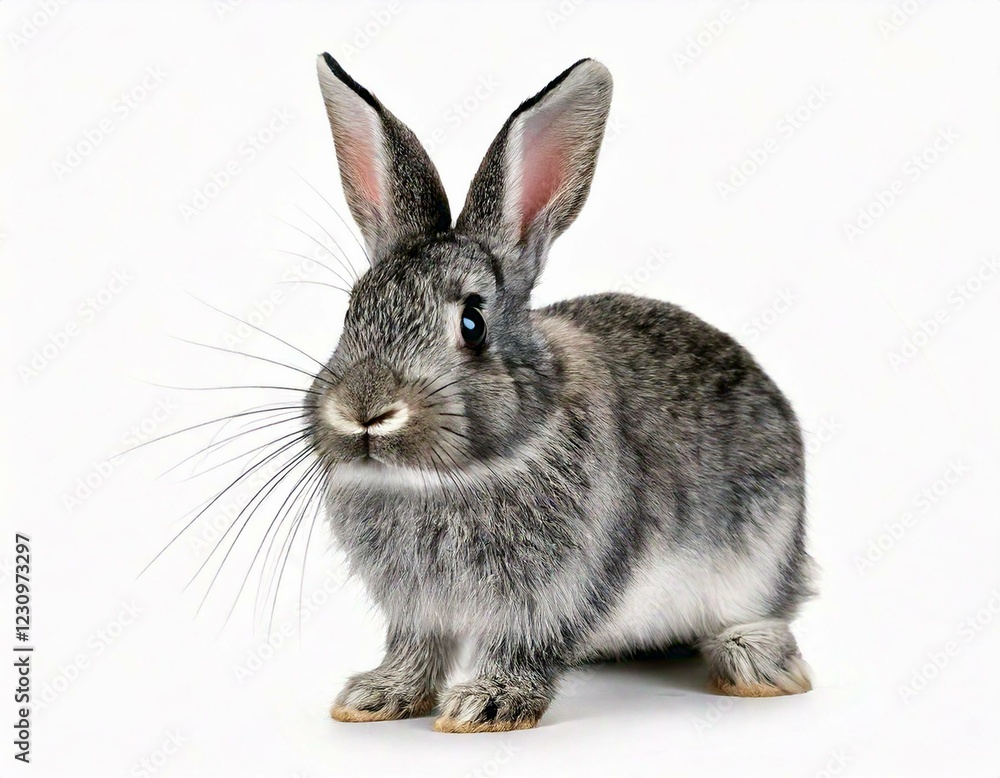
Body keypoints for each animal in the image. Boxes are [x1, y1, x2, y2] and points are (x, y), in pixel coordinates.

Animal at [309, 53, 815, 733]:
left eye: (473, 322)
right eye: (349, 313)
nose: (364, 411)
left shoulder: (559, 589)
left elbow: (527, 644)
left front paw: (486, 705)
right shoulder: (419, 608)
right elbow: (416, 648)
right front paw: (377, 696)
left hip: (763, 553)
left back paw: (755, 664)